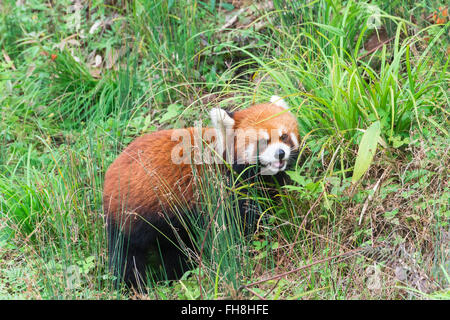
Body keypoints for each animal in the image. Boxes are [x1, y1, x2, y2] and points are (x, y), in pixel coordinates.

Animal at [103, 95, 300, 288]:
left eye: (284, 136)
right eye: (263, 142)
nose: (280, 153)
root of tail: (112, 169)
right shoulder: (222, 192)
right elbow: (239, 227)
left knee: (174, 249)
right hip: (131, 213)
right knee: (126, 254)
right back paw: (131, 286)